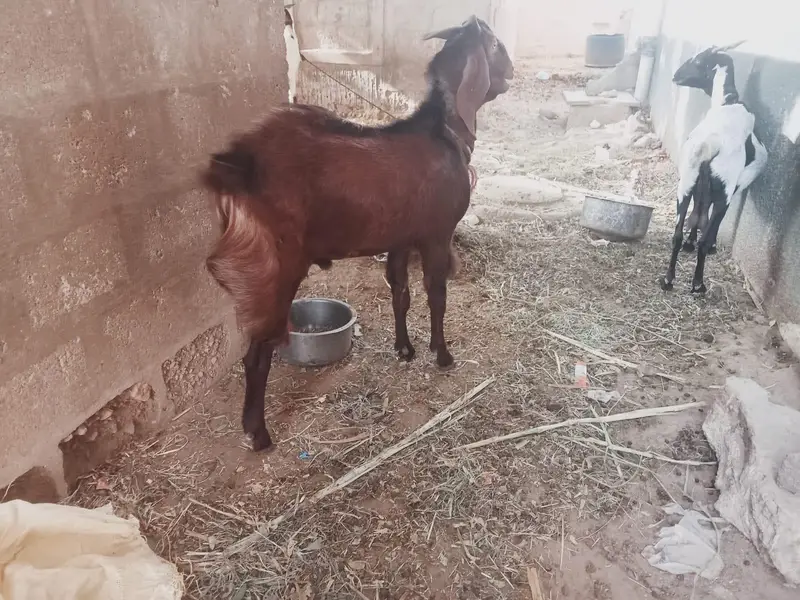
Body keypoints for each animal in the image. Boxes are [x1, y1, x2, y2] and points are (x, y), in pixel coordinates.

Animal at [202, 16, 514, 452]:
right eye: (497, 46)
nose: (512, 72)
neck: (442, 133)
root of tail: (234, 167)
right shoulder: (436, 234)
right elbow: (437, 296)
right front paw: (442, 355)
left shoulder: (399, 238)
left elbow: (401, 294)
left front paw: (405, 350)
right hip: (272, 268)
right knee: (258, 354)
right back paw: (259, 433)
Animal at [661, 42, 768, 293]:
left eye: (698, 61)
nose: (676, 76)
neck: (728, 101)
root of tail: (708, 145)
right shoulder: (734, 186)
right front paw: (705, 246)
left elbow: (699, 211)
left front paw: (689, 242)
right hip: (724, 188)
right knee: (707, 232)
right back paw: (698, 284)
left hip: (686, 182)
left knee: (678, 231)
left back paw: (668, 279)